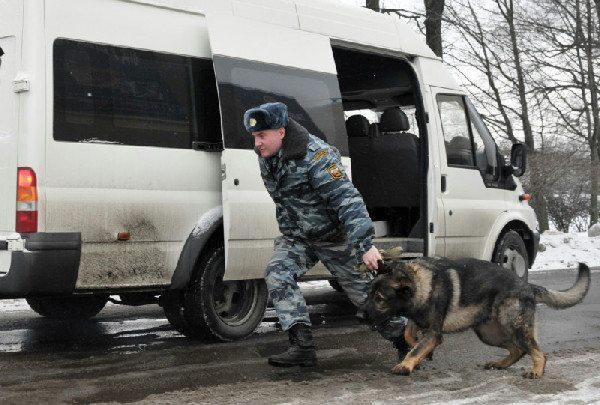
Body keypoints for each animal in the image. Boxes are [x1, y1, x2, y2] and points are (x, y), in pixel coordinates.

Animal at [366, 258, 592, 378]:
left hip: (514, 326)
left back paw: (536, 370)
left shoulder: (434, 334)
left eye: (379, 299)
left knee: (538, 353)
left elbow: (417, 347)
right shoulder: (418, 322)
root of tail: (527, 285)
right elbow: (409, 335)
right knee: (518, 350)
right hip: (489, 334)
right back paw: (500, 364)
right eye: (370, 294)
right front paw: (420, 350)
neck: (422, 283)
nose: (361, 315)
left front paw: (406, 364)